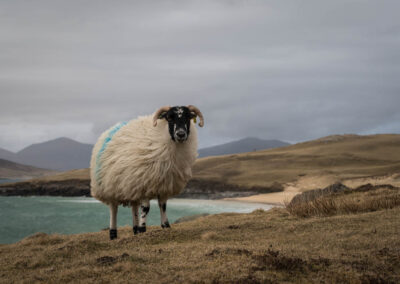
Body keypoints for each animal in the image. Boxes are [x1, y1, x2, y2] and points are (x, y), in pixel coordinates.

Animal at [89, 105, 205, 239]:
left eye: (188, 117)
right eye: (169, 118)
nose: (181, 134)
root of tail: (110, 129)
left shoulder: (163, 185)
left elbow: (163, 206)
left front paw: (165, 226)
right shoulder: (144, 183)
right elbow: (146, 208)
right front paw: (142, 229)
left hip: (130, 186)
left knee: (134, 207)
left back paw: (134, 230)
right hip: (110, 186)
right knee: (114, 209)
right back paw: (113, 234)